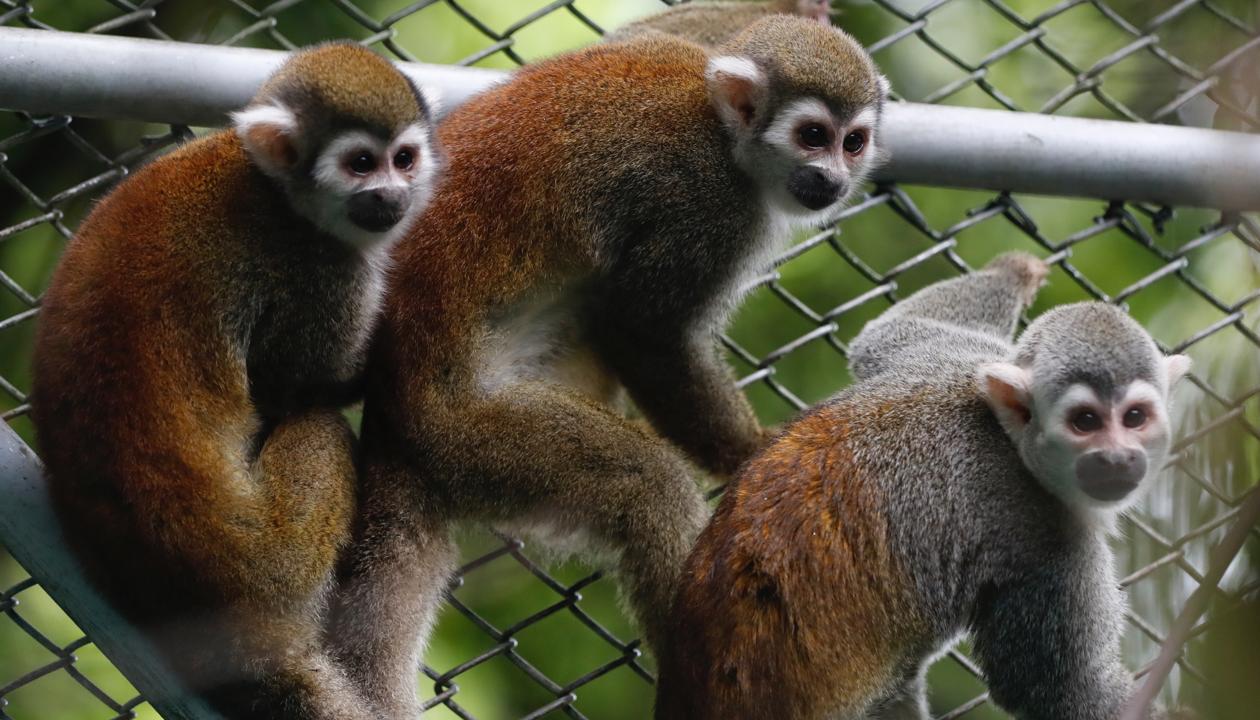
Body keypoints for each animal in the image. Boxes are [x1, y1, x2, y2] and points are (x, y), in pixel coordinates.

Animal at [31, 43, 439, 719]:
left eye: (403, 160)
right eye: (361, 164)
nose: (391, 196)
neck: (275, 189)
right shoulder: (315, 266)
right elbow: (300, 386)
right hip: (280, 564)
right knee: (318, 427)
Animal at [324, 16, 888, 719]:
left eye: (852, 142)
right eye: (813, 136)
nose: (834, 177)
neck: (726, 136)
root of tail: (390, 415)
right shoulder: (705, 204)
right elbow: (644, 330)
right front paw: (754, 453)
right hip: (467, 438)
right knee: (647, 484)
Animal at [655, 252, 1194, 720]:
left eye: (1135, 417)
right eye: (1085, 422)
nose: (1118, 458)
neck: (1013, 444)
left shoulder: (946, 361)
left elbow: (884, 336)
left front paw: (1012, 271)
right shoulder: (1043, 539)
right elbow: (1057, 693)